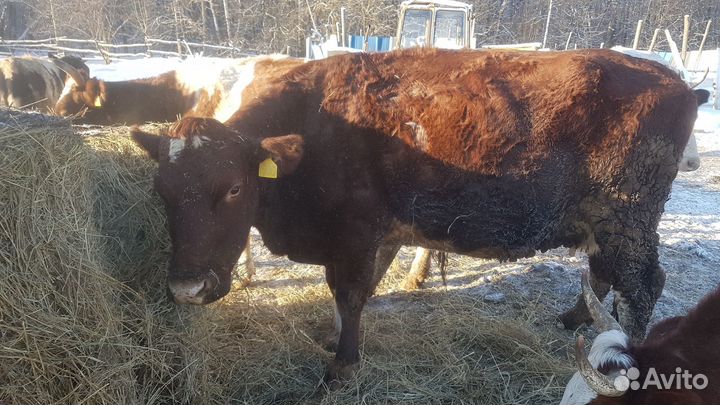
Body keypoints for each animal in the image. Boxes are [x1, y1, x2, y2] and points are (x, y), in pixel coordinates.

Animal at [130, 48, 705, 383]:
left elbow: (351, 294)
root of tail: (677, 82)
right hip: (602, 220)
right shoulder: (365, 237)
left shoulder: (357, 233)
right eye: (161, 190)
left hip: (627, 216)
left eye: (232, 188)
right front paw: (335, 339)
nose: (186, 288)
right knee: (602, 271)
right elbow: (349, 293)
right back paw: (575, 317)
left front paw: (342, 365)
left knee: (642, 285)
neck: (315, 122)